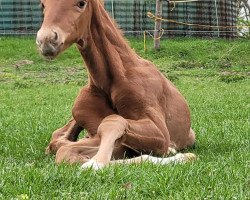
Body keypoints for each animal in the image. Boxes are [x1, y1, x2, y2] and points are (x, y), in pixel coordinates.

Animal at [36, 0, 195, 170]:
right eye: (43, 5)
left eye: (81, 3)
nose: (46, 40)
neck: (113, 80)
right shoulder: (107, 139)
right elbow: (66, 151)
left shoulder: (159, 132)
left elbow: (114, 121)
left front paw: (96, 163)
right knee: (58, 137)